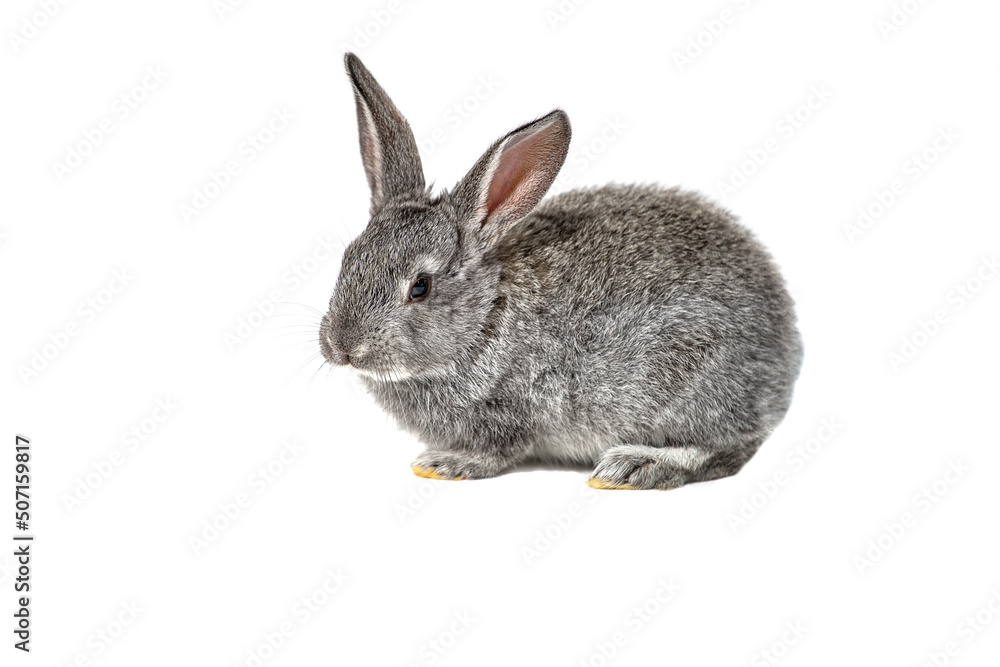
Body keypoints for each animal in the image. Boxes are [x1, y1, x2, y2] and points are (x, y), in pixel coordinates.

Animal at [319, 53, 803, 490]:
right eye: (348, 259)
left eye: (420, 287)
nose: (342, 346)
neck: (486, 319)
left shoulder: (516, 407)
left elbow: (497, 449)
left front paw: (445, 464)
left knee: (726, 449)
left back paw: (634, 467)